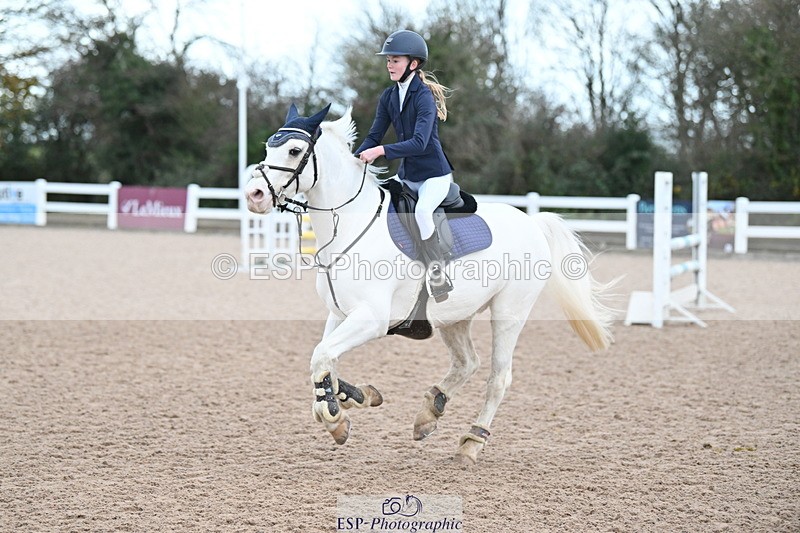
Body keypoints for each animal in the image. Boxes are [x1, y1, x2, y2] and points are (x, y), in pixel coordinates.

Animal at [244, 104, 615, 465]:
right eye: (268, 147)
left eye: (294, 150)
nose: (254, 195)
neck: (349, 226)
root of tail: (532, 221)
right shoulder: (340, 314)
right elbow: (324, 360)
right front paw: (351, 398)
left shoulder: (372, 318)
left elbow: (321, 357)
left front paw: (335, 414)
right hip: (454, 316)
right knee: (467, 362)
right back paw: (430, 411)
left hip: (510, 312)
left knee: (498, 377)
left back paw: (471, 443)